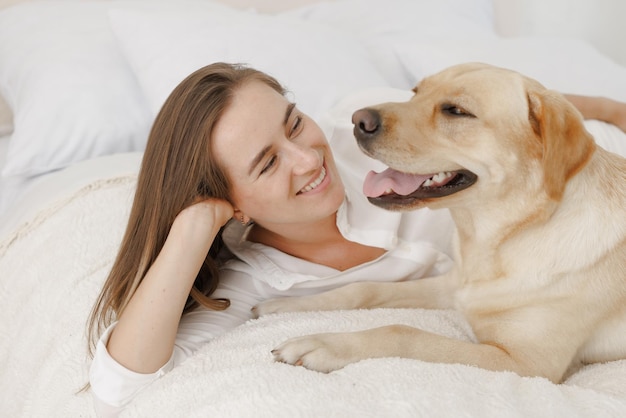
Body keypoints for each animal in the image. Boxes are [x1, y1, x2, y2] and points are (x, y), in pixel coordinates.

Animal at [251, 62, 624, 382]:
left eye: (456, 111)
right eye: (415, 91)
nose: (359, 120)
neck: (500, 238)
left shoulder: (526, 363)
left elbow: (403, 331)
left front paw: (326, 344)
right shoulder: (452, 285)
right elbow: (363, 288)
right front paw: (286, 306)